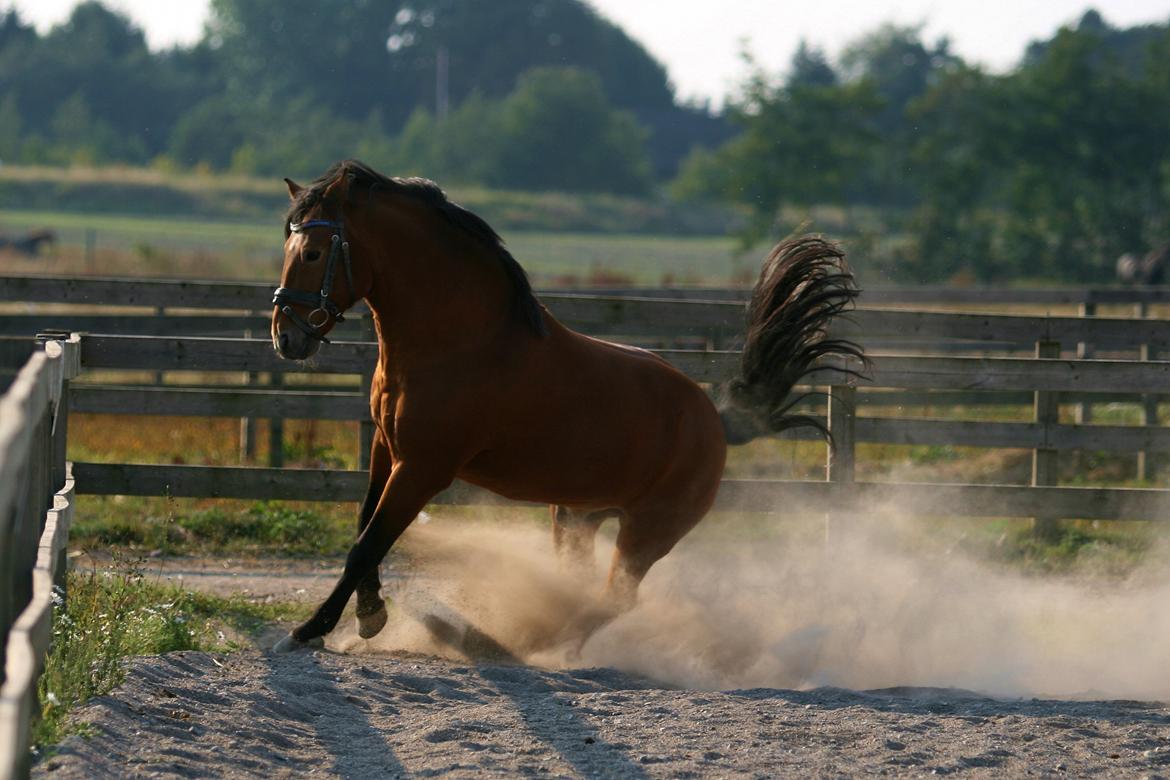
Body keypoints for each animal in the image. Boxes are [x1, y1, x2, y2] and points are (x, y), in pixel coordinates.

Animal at [269, 161, 865, 654]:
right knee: (581, 585)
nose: (285, 336)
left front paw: (310, 630)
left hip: (650, 529)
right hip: (577, 516)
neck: (459, 342)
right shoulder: (384, 448)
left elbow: (368, 544)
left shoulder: (423, 468)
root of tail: (715, 421)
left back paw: (510, 642)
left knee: (615, 599)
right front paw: (370, 615)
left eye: (314, 253)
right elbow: (364, 529)